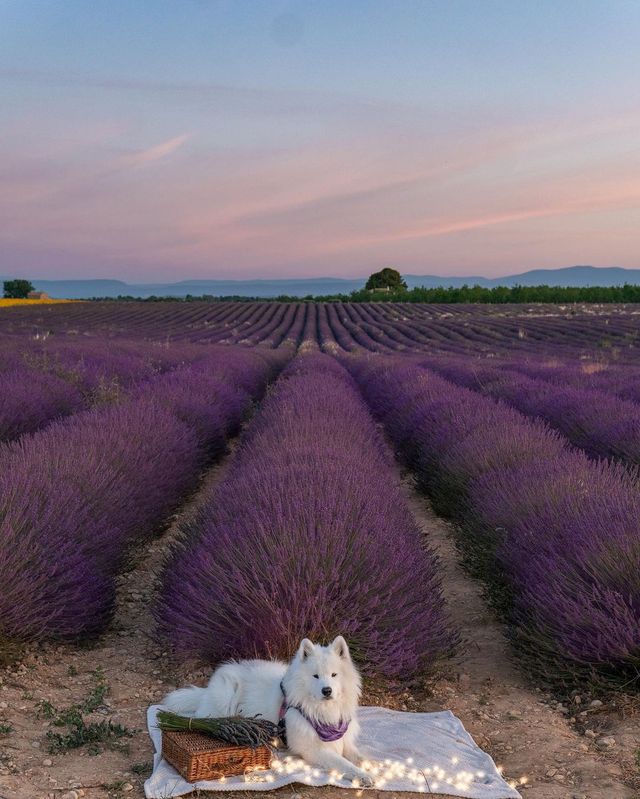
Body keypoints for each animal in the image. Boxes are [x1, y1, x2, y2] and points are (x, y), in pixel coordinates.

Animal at [162, 636, 370, 788]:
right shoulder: (313, 749)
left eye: (334, 675)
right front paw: (361, 776)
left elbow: (358, 756)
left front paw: (370, 766)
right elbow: (343, 763)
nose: (327, 690)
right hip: (225, 696)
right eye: (315, 676)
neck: (322, 711)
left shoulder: (344, 740)